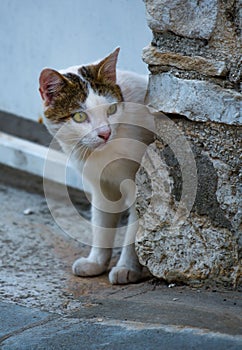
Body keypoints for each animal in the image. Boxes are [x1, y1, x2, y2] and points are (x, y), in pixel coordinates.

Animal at [39, 47, 154, 284]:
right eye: (79, 116)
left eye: (111, 110)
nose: (105, 133)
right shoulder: (101, 187)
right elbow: (101, 224)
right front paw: (96, 263)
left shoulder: (143, 186)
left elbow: (135, 230)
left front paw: (127, 268)